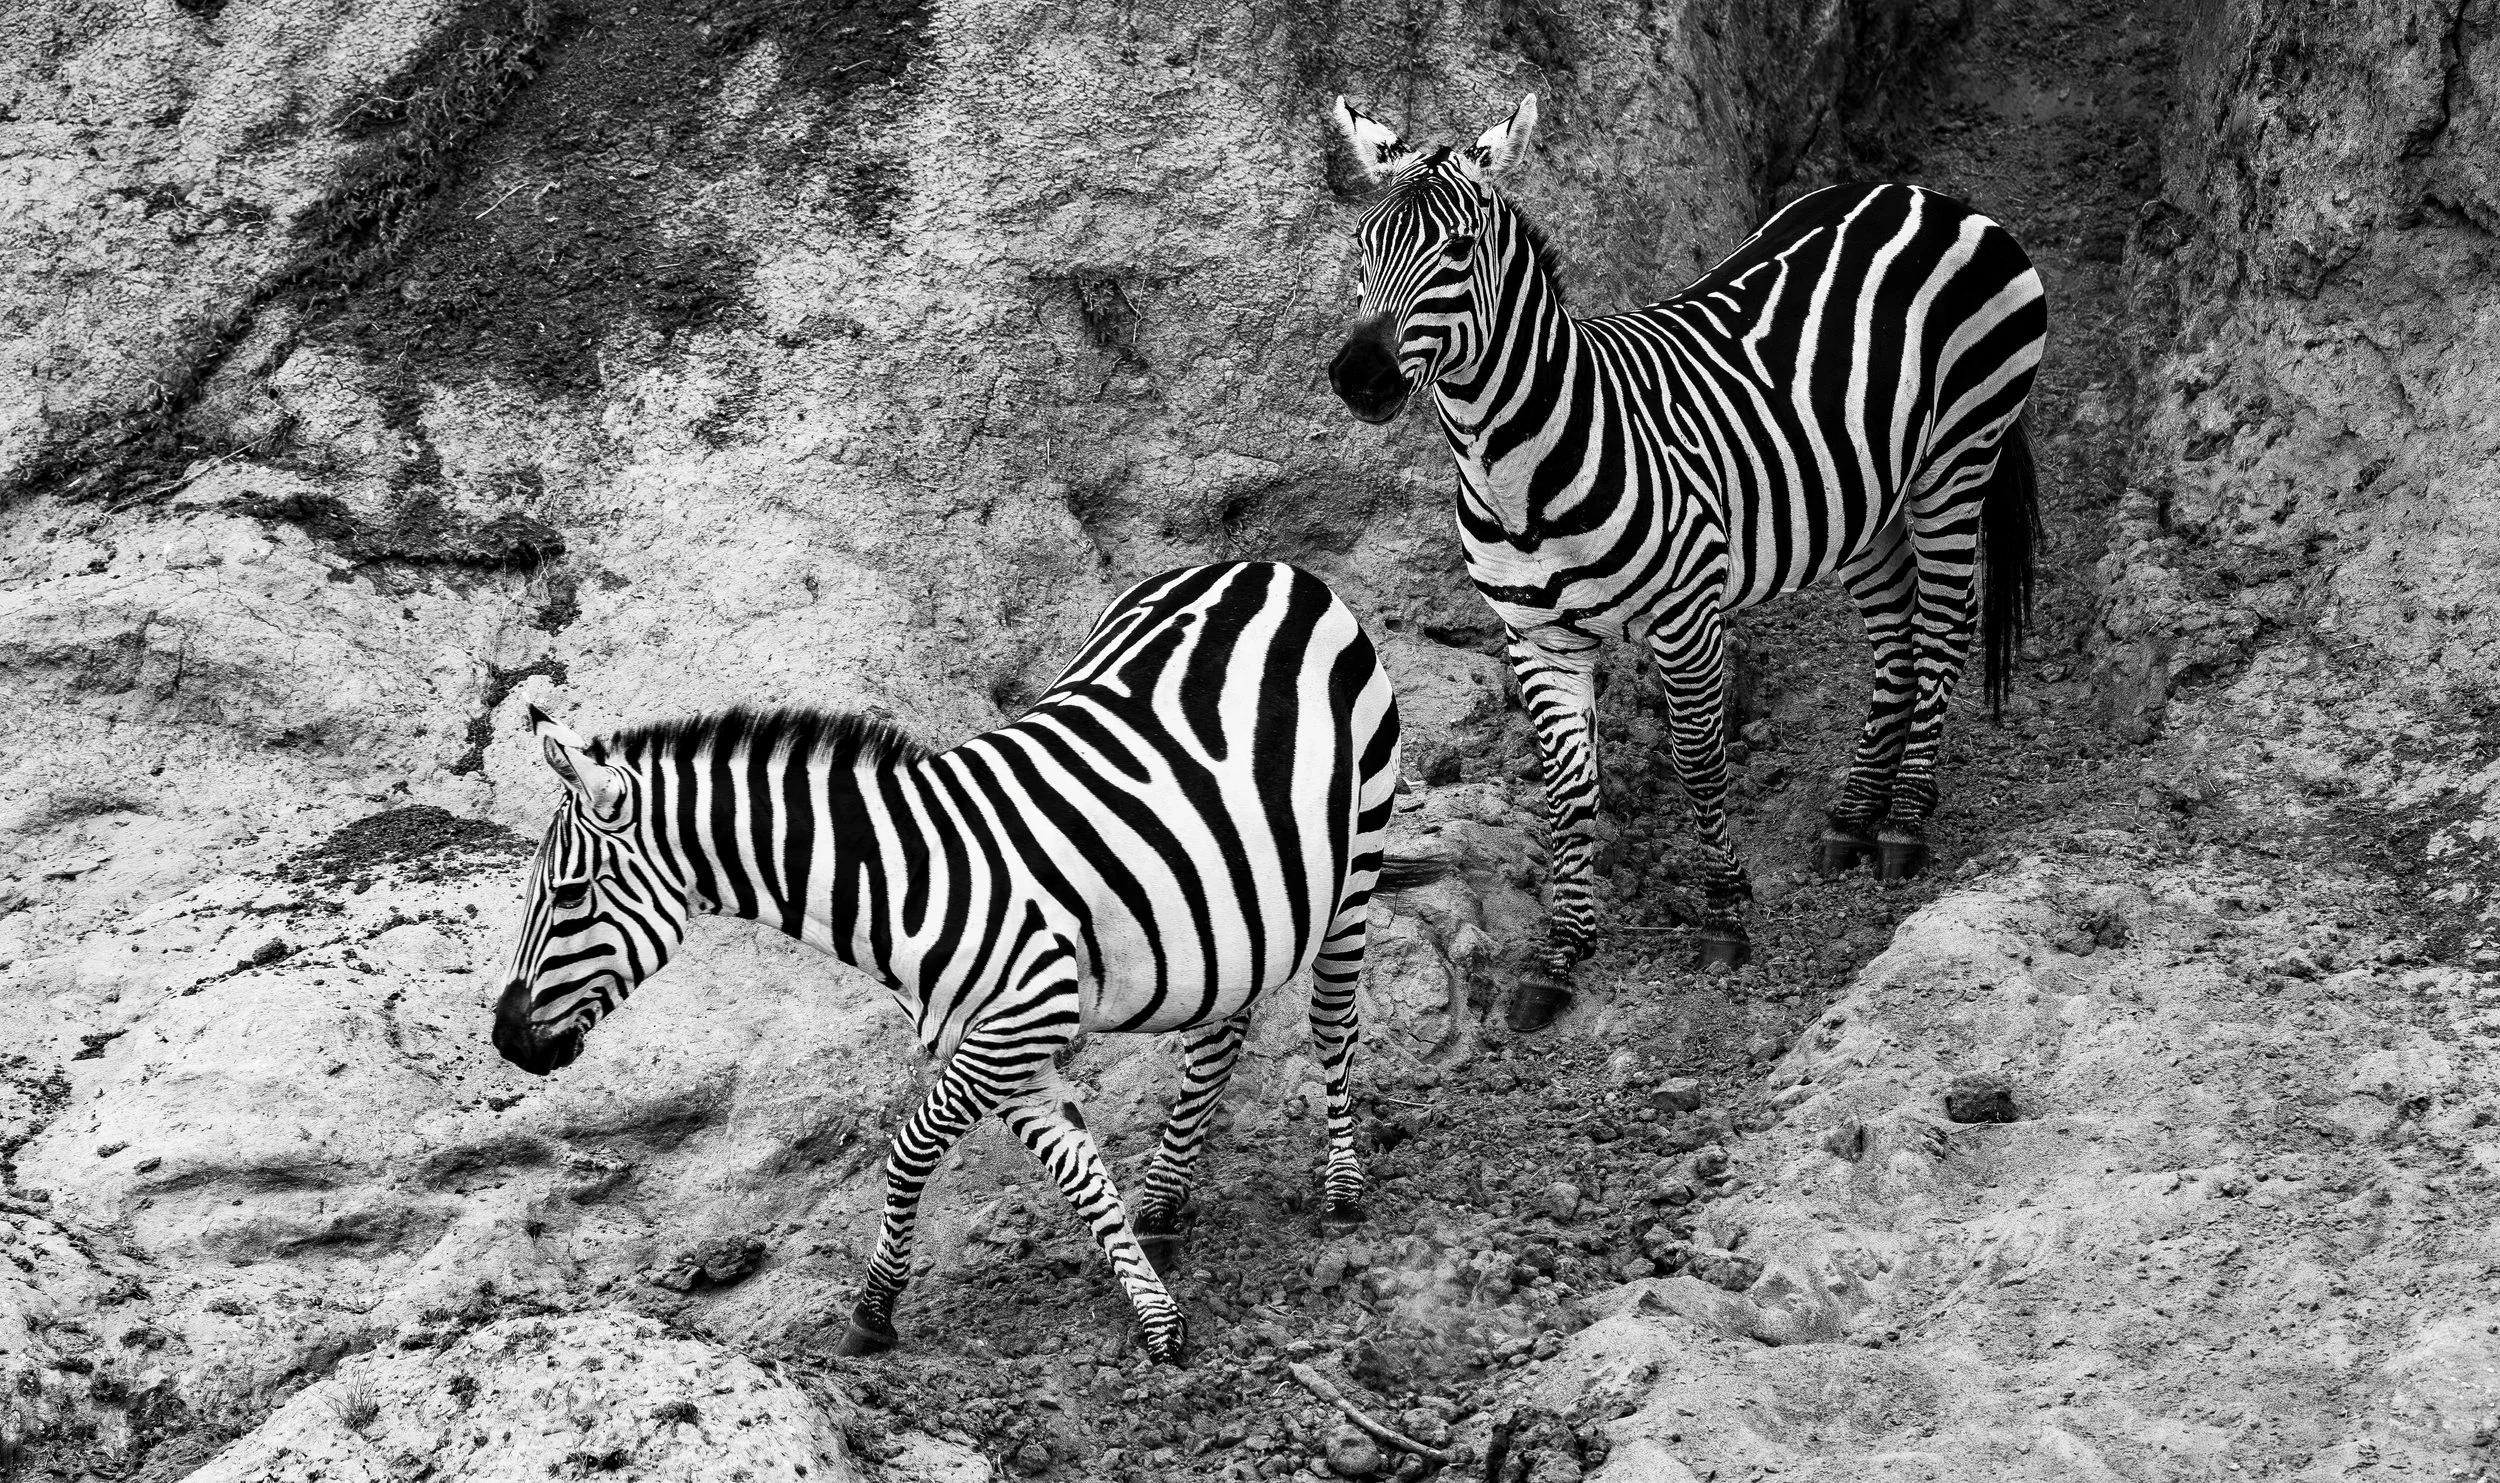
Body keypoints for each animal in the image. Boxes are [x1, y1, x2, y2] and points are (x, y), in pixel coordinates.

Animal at [490, 561, 1448, 1364]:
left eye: (568, 896)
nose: (505, 1041)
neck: (909, 876)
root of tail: (1268, 565)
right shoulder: (1000, 1045)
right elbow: (1079, 1174)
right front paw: (1156, 1313)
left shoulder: (1019, 1022)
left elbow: (909, 1148)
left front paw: (874, 1310)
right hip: (1229, 908)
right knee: (1219, 1034)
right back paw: (1167, 1201)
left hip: (1359, 851)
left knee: (1332, 1020)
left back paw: (1343, 1187)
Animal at [1326, 95, 2045, 1030]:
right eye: (1363, 243)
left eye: (1458, 249)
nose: (1358, 377)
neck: (1518, 468)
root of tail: (1921, 194)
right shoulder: (1537, 639)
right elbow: (1568, 793)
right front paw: (1561, 954)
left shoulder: (1685, 616)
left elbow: (1699, 762)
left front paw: (1724, 913)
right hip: (1861, 497)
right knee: (1897, 641)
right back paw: (1855, 815)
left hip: (1958, 454)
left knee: (1946, 625)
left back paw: (1905, 824)